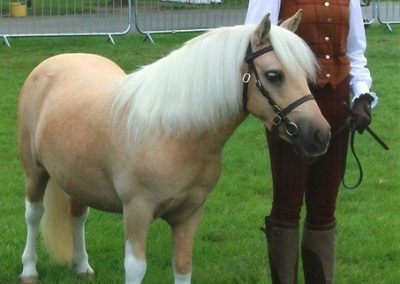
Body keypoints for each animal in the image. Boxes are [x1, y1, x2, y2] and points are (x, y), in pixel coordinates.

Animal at [18, 11, 330, 284]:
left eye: (304, 74)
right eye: (274, 75)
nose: (320, 135)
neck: (173, 133)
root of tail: (55, 62)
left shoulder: (188, 215)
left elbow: (182, 266)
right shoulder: (137, 212)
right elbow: (135, 268)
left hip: (77, 178)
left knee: (78, 215)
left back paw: (82, 266)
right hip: (35, 172)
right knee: (33, 216)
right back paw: (29, 270)